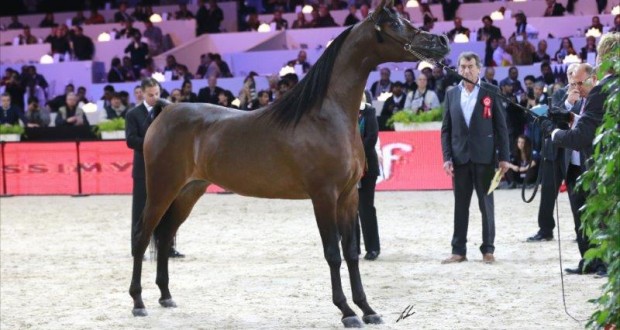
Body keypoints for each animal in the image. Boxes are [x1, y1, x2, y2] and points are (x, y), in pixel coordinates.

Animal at [131, 0, 448, 328]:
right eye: (395, 24)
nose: (441, 41)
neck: (325, 117)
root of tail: (164, 112)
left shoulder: (349, 197)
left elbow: (351, 252)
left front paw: (367, 309)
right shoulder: (324, 197)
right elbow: (332, 253)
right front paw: (346, 311)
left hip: (188, 191)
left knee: (164, 236)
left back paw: (166, 296)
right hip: (161, 189)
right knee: (142, 236)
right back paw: (139, 302)